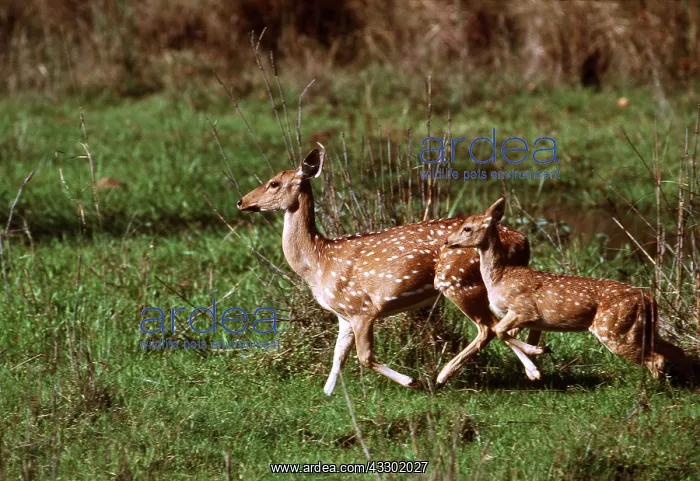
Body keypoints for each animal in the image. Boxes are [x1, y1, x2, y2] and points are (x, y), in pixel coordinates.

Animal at [237, 147, 547, 395]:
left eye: (274, 183)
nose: (241, 201)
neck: (319, 262)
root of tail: (521, 240)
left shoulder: (362, 308)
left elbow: (364, 357)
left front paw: (412, 381)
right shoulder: (343, 315)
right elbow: (337, 357)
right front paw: (326, 393)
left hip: (458, 280)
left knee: (488, 328)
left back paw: (445, 376)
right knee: (508, 322)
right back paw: (533, 364)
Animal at [444, 196, 695, 382]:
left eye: (467, 228)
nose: (447, 241)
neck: (500, 277)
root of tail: (649, 299)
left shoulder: (524, 309)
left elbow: (499, 331)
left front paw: (538, 356)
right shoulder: (523, 318)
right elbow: (503, 333)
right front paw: (535, 364)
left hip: (614, 331)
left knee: (657, 359)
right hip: (642, 329)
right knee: (676, 351)